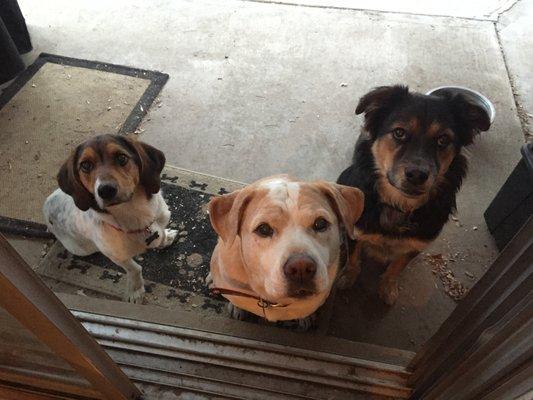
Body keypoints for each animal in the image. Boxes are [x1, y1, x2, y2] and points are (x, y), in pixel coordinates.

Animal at [336, 84, 490, 304]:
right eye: (399, 132)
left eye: (443, 139)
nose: (417, 175)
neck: (400, 205)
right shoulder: (356, 230)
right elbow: (354, 257)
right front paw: (348, 276)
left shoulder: (415, 246)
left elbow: (397, 267)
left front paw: (388, 287)